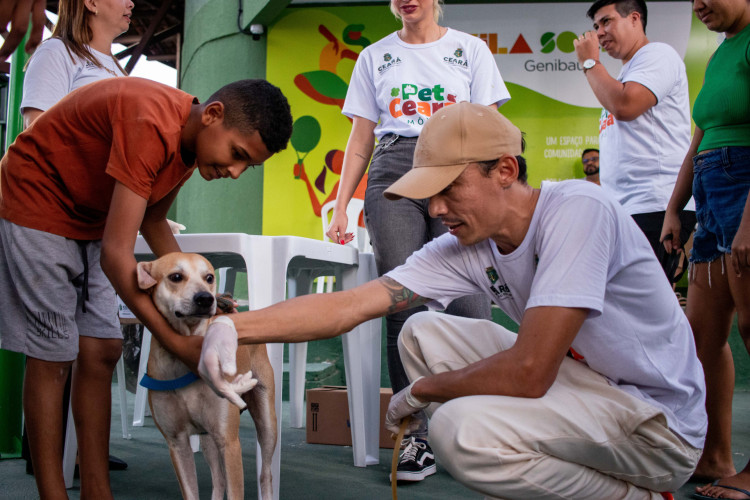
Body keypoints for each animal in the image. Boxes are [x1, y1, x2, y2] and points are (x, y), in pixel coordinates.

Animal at [137, 254, 278, 500]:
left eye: (209, 277)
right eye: (176, 276)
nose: (206, 298)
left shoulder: (229, 442)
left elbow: (235, 490)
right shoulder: (177, 443)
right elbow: (192, 490)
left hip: (267, 425)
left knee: (265, 474)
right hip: (207, 438)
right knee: (218, 479)